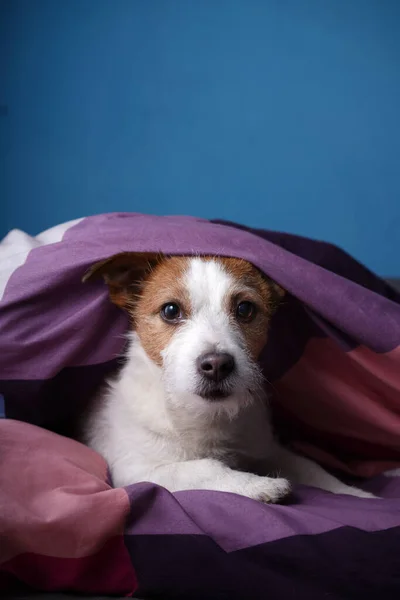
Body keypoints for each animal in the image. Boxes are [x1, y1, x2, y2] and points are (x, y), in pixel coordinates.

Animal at [81, 252, 376, 502]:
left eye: (245, 309)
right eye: (170, 310)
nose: (217, 365)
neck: (204, 418)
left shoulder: (268, 449)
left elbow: (310, 466)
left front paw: (356, 495)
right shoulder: (136, 471)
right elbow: (202, 467)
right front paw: (257, 484)